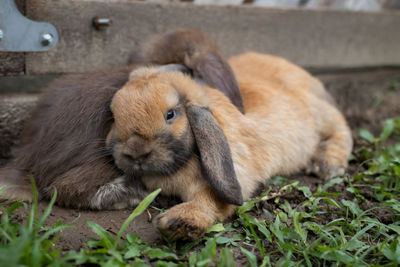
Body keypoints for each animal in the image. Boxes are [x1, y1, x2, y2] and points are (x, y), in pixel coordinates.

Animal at [107, 51, 354, 241]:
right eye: (114, 115)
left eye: (170, 114)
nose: (136, 152)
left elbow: (207, 199)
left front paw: (178, 223)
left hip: (323, 116)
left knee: (342, 130)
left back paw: (327, 165)